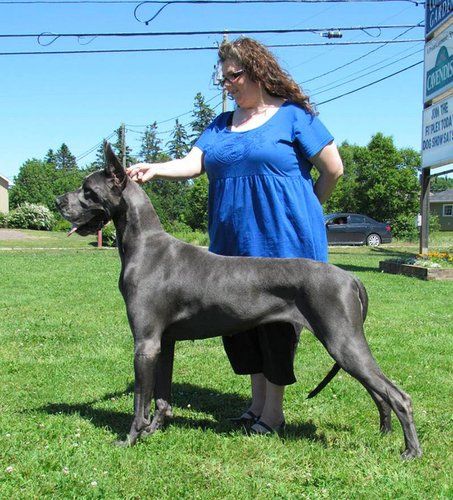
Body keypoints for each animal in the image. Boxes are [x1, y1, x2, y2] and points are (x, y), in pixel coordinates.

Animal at [56, 142, 422, 459]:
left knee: (399, 395)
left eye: (87, 190)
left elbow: (139, 401)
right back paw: (384, 433)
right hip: (347, 344)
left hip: (342, 341)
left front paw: (131, 437)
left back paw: (411, 451)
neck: (144, 245)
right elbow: (162, 398)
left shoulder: (145, 343)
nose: (59, 201)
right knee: (380, 392)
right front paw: (154, 430)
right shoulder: (165, 342)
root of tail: (351, 278)